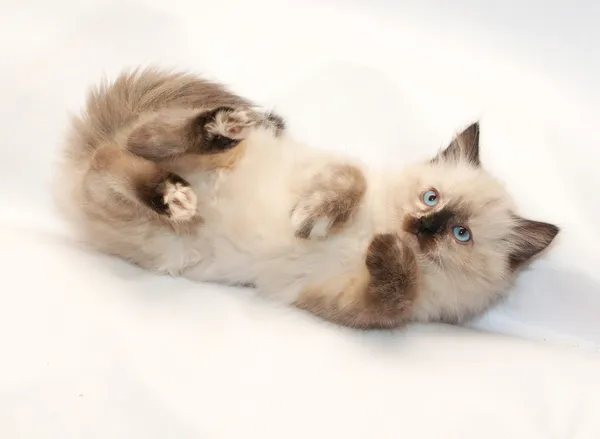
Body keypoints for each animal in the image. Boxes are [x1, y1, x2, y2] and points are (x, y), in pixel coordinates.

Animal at [56, 68, 556, 330]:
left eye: (460, 234)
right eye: (431, 198)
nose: (422, 227)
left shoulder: (351, 305)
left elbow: (393, 291)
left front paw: (389, 251)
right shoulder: (332, 170)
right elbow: (346, 184)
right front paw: (313, 219)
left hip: (137, 221)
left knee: (115, 163)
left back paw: (174, 195)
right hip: (182, 159)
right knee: (136, 144)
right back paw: (217, 133)